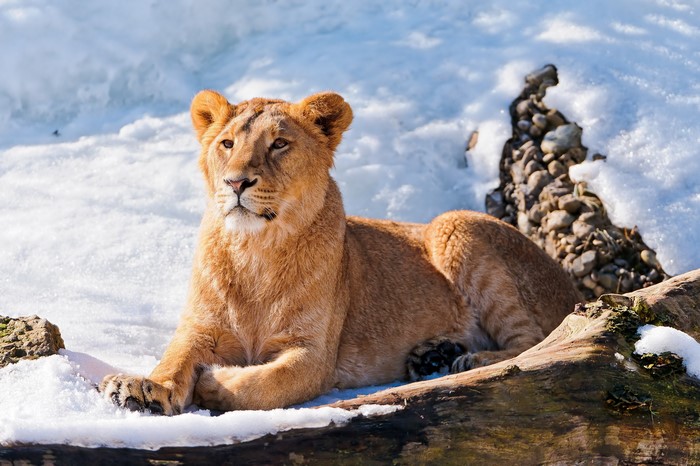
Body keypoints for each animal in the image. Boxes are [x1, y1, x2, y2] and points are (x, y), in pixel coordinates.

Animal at [100, 90, 582, 414]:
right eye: (227, 144)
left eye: (279, 144)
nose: (236, 182)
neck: (254, 249)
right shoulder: (200, 328)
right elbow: (174, 357)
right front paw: (142, 388)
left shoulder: (314, 354)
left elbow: (265, 384)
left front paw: (215, 381)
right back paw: (433, 356)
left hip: (454, 224)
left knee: (535, 342)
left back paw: (467, 359)